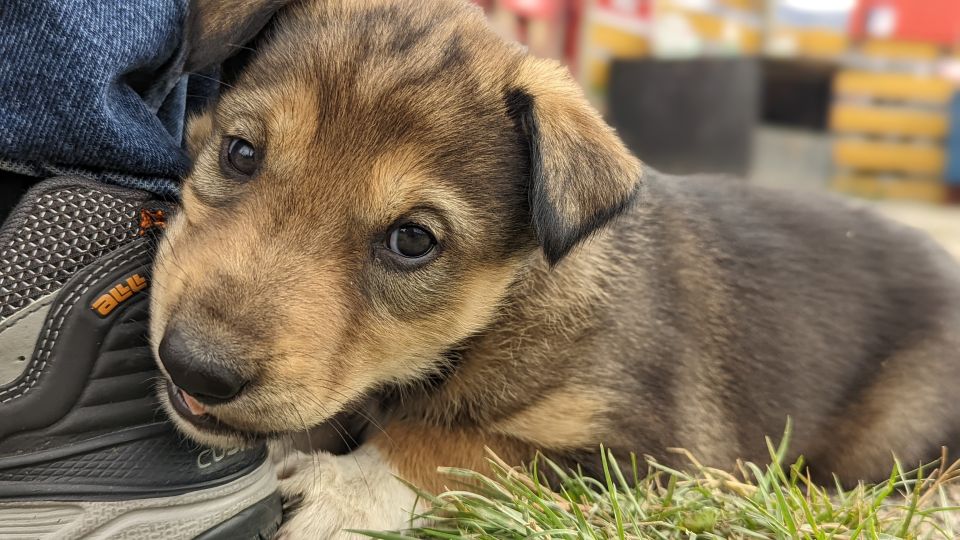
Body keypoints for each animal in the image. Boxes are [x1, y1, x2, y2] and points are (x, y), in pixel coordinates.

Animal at [150, 0, 960, 532]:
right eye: (240, 153)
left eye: (413, 241)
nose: (193, 368)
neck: (501, 307)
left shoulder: (662, 458)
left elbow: (468, 446)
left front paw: (340, 488)